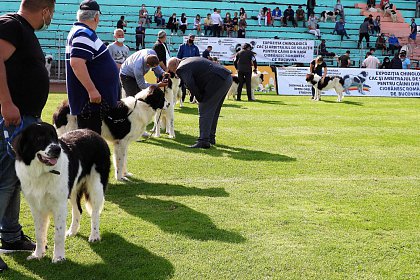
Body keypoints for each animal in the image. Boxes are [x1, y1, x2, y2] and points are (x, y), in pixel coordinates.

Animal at [13, 122, 110, 262]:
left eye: (54, 136)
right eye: (39, 138)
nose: (57, 149)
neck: (42, 172)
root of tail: (94, 133)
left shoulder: (59, 205)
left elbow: (58, 234)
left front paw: (58, 257)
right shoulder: (36, 206)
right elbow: (39, 233)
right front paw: (38, 254)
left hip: (96, 186)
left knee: (95, 213)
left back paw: (94, 236)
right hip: (73, 190)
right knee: (77, 210)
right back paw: (72, 231)